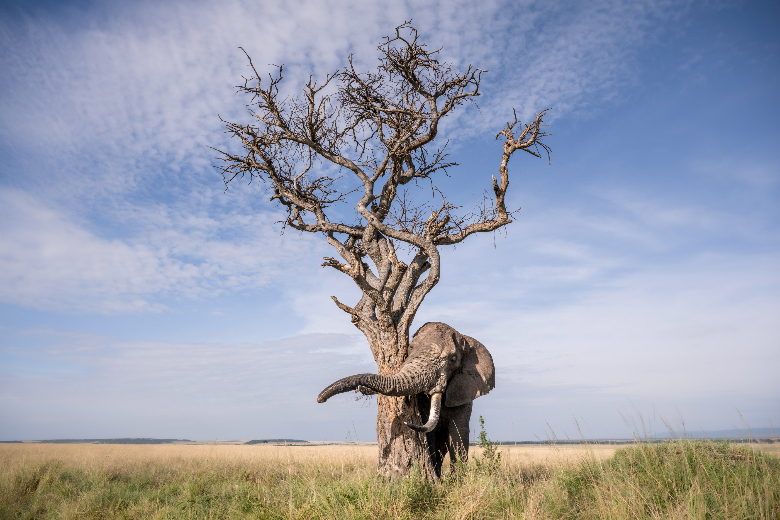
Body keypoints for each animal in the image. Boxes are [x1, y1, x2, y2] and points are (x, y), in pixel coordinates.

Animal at [317, 322, 495, 478]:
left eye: (452, 359)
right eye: (409, 350)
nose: (320, 399)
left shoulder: (464, 391)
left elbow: (459, 433)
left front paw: (456, 482)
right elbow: (430, 435)